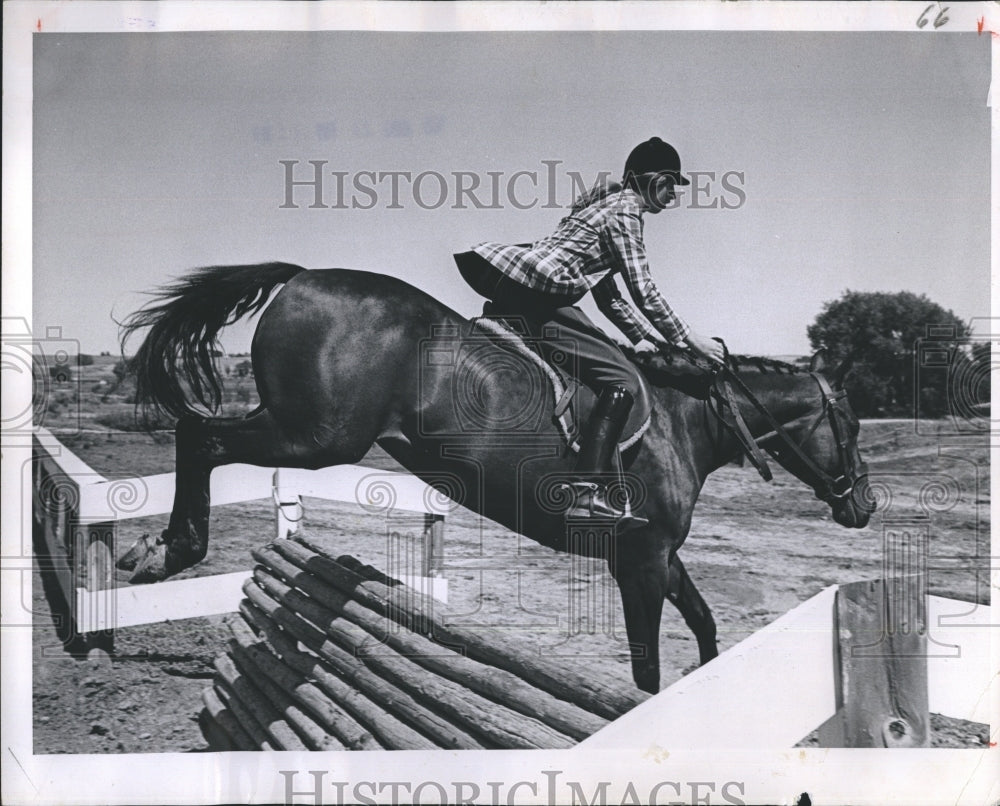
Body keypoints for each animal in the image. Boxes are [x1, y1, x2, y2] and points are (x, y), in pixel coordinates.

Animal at [119, 266, 876, 696]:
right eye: (850, 422)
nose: (865, 505)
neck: (684, 422)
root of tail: (302, 277)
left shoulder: (659, 554)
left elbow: (704, 621)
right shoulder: (640, 559)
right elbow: (646, 667)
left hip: (296, 423)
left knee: (204, 436)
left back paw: (161, 548)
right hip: (318, 435)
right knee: (201, 437)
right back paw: (170, 550)